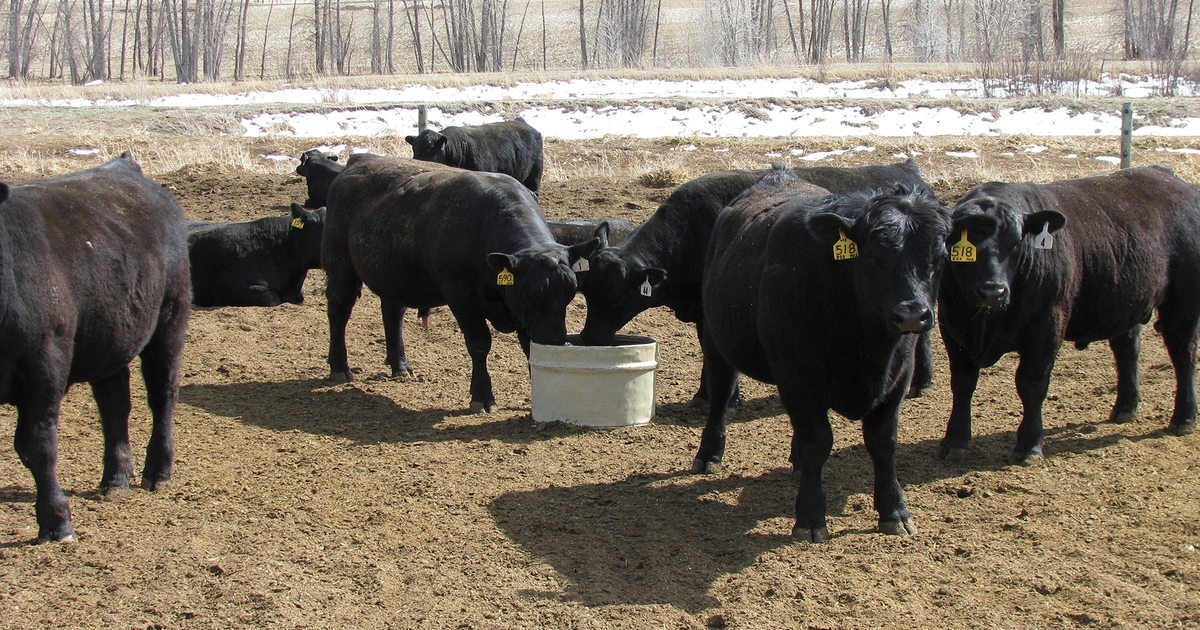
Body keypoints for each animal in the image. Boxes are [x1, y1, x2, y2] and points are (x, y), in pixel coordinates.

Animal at [0, 153, 191, 543]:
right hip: (112, 337)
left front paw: (57, 520)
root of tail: (123, 165)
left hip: (170, 317)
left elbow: (37, 446)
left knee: (162, 393)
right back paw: (116, 477)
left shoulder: (44, 364)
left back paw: (157, 471)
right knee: (114, 405)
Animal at [323, 155, 597, 412]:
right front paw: (482, 396)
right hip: (340, 263)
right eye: (530, 294)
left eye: (570, 294)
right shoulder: (461, 296)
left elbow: (527, 346)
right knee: (339, 308)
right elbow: (479, 343)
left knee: (392, 312)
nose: (554, 340)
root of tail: (359, 161)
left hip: (394, 275)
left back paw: (399, 365)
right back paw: (339, 367)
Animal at [578, 160, 939, 404]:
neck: (691, 233)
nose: (588, 337)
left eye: (616, 298)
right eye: (589, 293)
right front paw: (704, 393)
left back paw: (921, 381)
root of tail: (908, 172)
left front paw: (725, 396)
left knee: (922, 335)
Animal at [693, 168, 950, 542]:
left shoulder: (899, 377)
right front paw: (811, 516)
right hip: (717, 342)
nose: (912, 315)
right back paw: (708, 453)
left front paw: (894, 510)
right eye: (873, 256)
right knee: (720, 394)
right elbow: (817, 442)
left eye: (939, 258)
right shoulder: (797, 377)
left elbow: (884, 442)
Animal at [937, 165, 1200, 464]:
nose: (993, 291)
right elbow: (962, 383)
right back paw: (1125, 407)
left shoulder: (1047, 327)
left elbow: (1032, 384)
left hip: (1183, 304)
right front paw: (955, 440)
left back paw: (1184, 418)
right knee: (1128, 351)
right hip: (1126, 305)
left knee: (1183, 355)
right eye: (961, 245)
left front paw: (1029, 444)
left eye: (1016, 243)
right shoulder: (953, 328)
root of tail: (1167, 175)